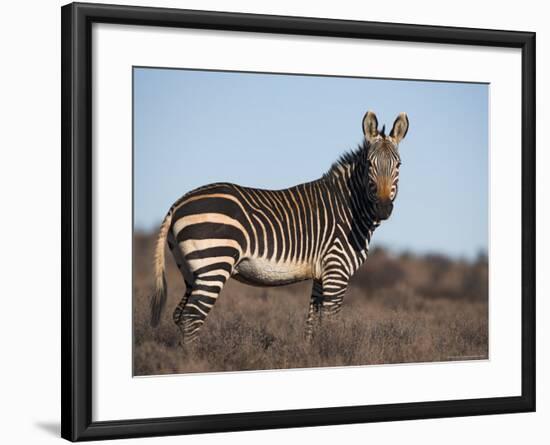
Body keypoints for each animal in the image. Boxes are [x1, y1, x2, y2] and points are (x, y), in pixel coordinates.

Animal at [151, 109, 410, 342]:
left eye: (398, 165)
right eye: (369, 165)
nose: (383, 209)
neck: (349, 208)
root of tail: (179, 202)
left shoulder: (321, 274)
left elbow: (312, 324)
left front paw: (311, 354)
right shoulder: (337, 270)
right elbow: (330, 323)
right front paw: (334, 351)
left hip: (192, 270)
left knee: (179, 315)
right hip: (214, 263)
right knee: (191, 318)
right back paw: (195, 359)